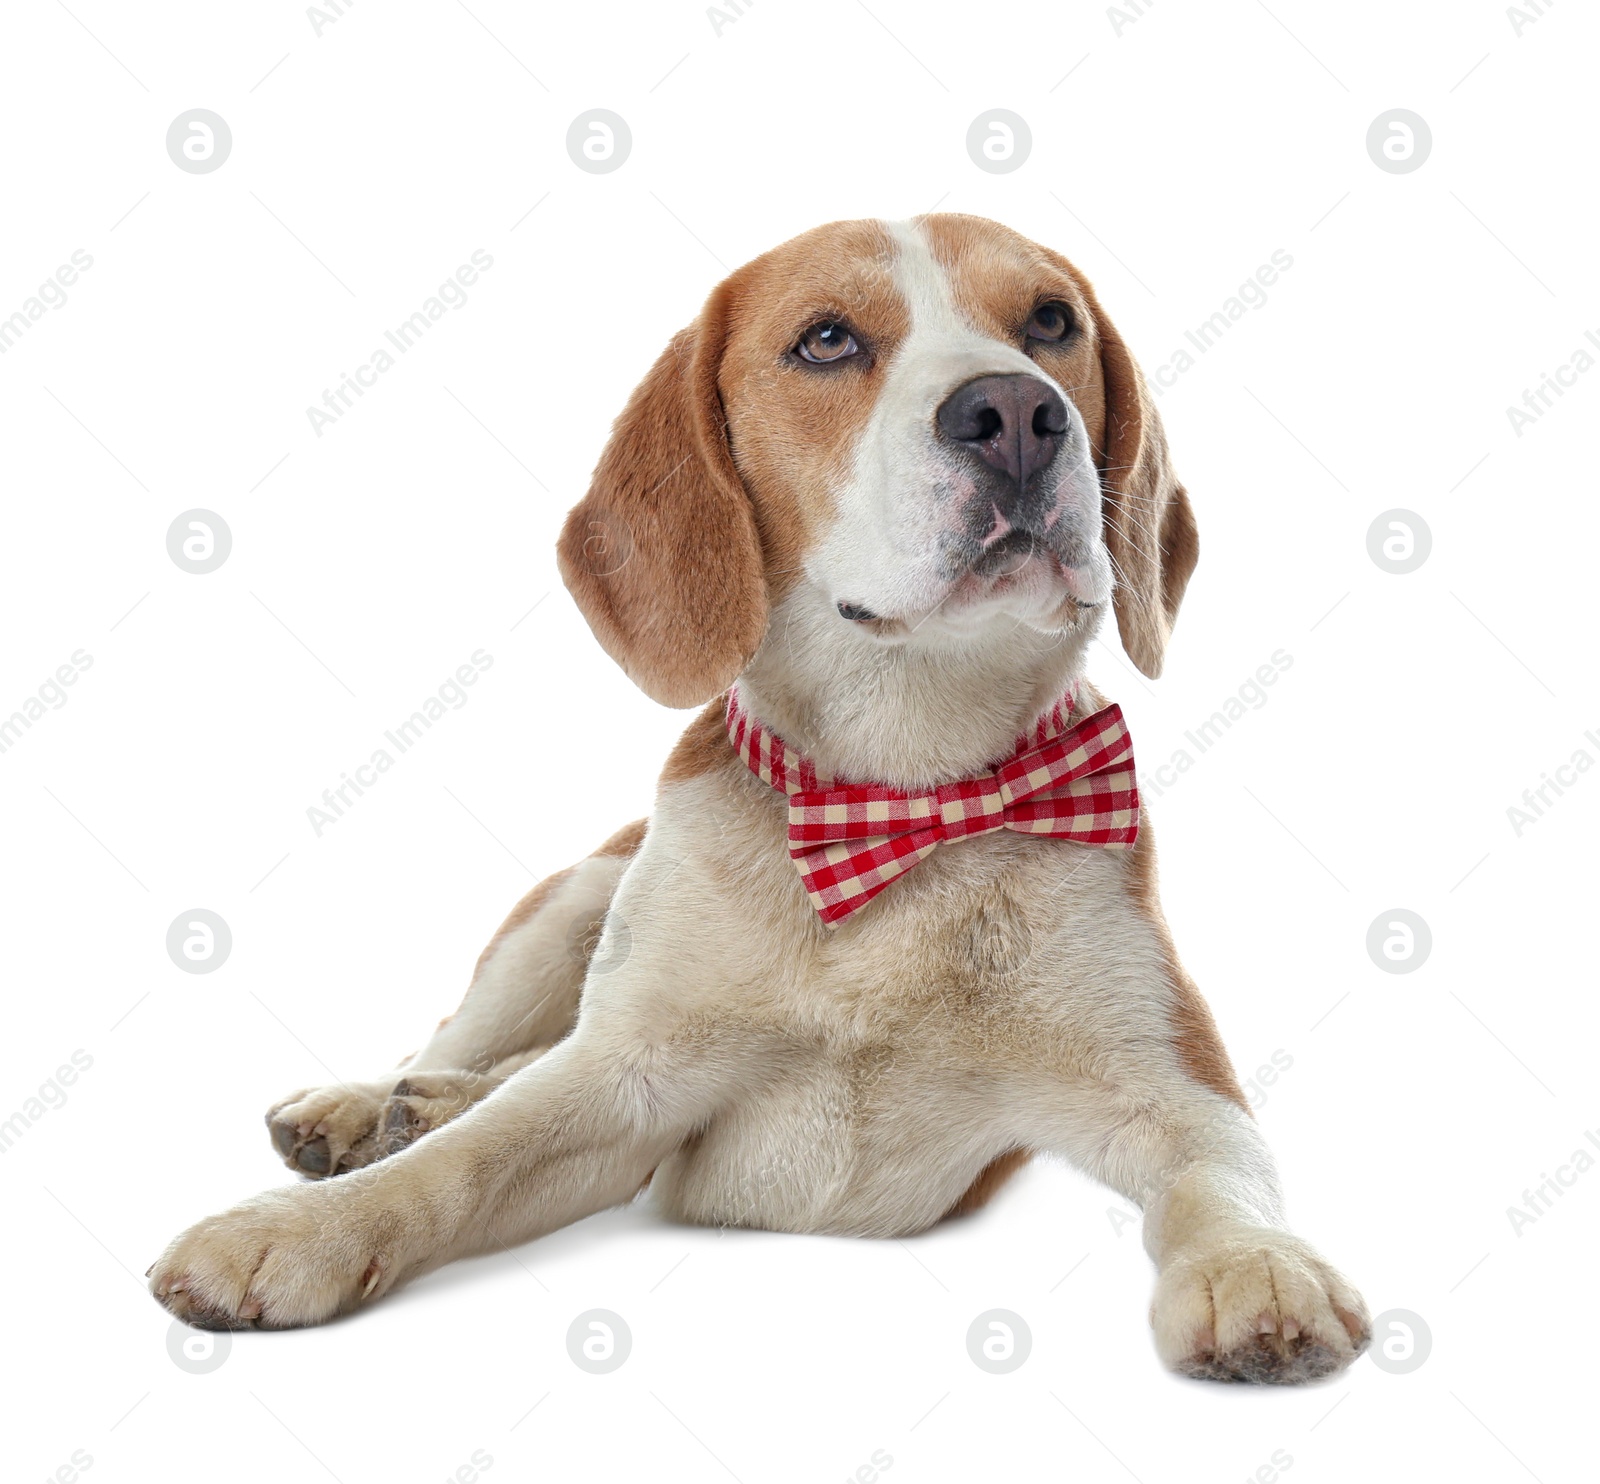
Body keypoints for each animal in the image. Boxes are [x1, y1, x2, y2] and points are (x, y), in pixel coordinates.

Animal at [152, 214, 1376, 1388]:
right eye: (826, 340)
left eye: (1049, 321)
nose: (1019, 412)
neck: (895, 800)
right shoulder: (626, 1089)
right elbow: (467, 1160)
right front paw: (298, 1228)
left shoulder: (1175, 1089)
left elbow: (1222, 1176)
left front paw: (1258, 1268)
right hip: (565, 910)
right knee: (478, 1049)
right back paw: (369, 1105)